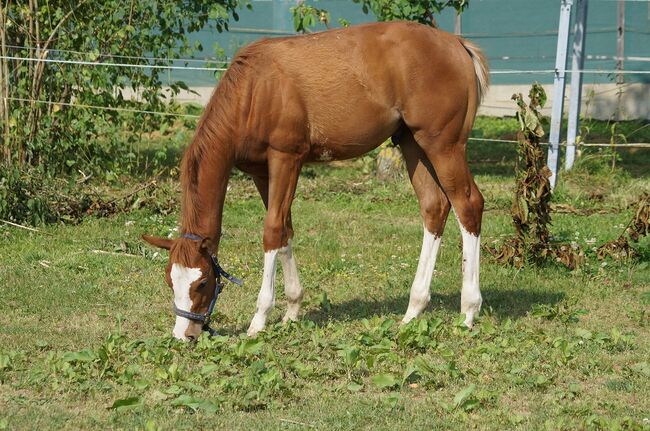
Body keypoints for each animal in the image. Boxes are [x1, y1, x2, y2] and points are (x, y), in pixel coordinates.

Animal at [142, 21, 486, 340]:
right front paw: (292, 310)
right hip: (412, 143)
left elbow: (272, 230)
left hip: (443, 146)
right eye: (170, 280)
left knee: (468, 204)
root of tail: (457, 45)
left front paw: (260, 319)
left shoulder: (286, 159)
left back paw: (468, 312)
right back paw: (413, 310)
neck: (255, 89)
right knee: (434, 208)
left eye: (202, 282)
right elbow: (285, 231)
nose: (184, 335)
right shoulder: (261, 172)